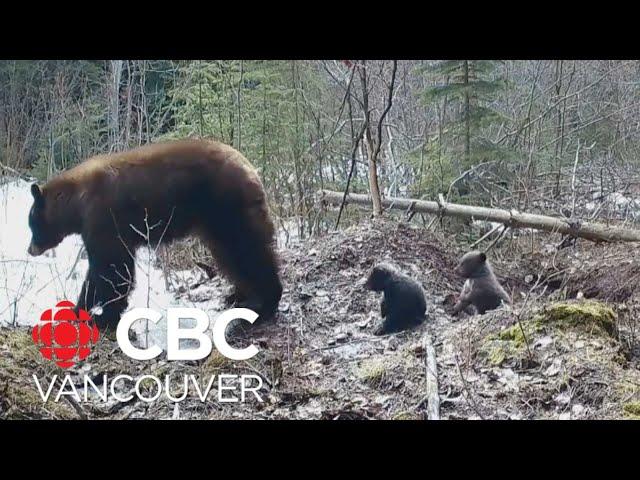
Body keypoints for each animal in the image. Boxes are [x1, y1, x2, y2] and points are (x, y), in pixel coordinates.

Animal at [27, 140, 282, 330]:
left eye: (31, 224)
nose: (30, 249)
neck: (76, 202)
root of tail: (250, 169)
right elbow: (115, 267)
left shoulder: (103, 219)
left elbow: (110, 268)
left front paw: (92, 314)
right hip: (216, 221)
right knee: (230, 254)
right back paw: (238, 295)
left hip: (227, 205)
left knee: (248, 248)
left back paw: (265, 303)